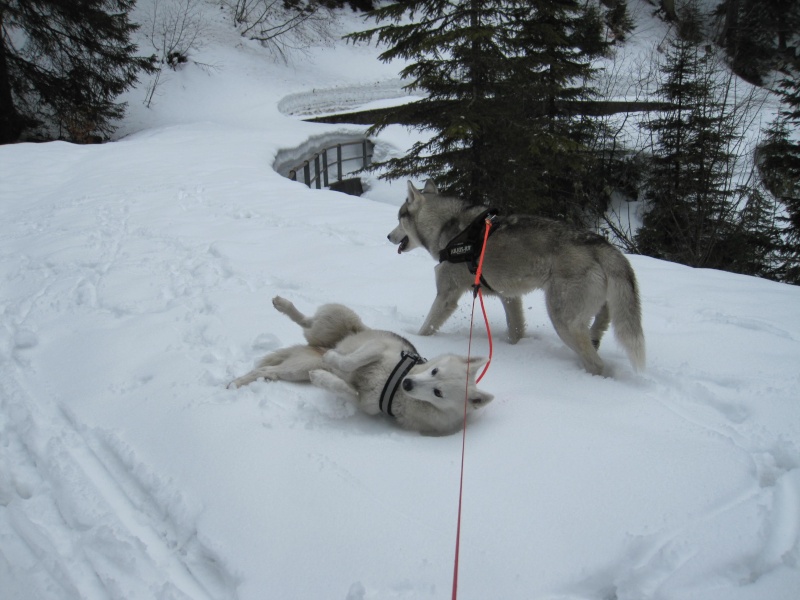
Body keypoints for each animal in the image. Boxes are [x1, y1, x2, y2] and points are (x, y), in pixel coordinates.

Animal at [230, 298, 494, 434]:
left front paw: (322, 377)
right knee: (307, 321)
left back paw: (238, 382)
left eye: (438, 392)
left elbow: (345, 388)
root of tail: (318, 346)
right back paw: (284, 305)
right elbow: (350, 361)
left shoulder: (364, 403)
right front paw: (334, 360)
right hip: (342, 319)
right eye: (434, 370)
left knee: (268, 371)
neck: (395, 388)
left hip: (296, 369)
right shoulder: (377, 348)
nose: (407, 382)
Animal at [388, 182, 644, 376]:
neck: (445, 227)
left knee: (596, 364)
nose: (388, 236)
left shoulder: (446, 296)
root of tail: (602, 246)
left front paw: (413, 339)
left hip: (563, 321)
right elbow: (516, 330)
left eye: (399, 219)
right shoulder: (510, 297)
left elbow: (425, 328)